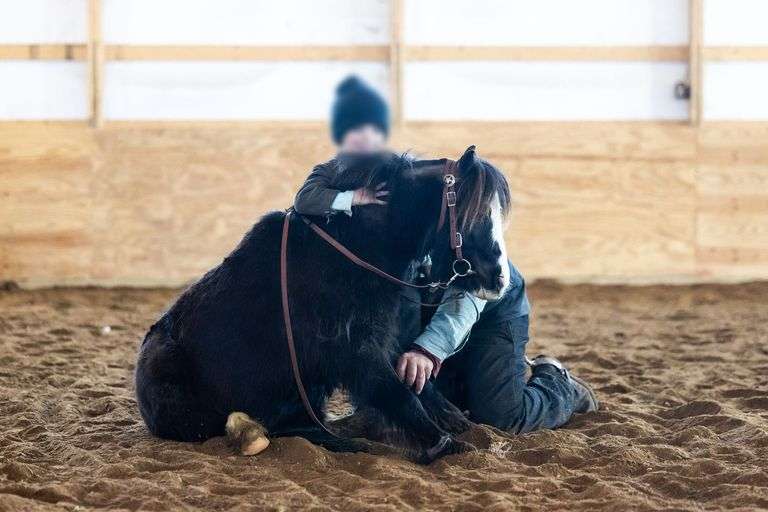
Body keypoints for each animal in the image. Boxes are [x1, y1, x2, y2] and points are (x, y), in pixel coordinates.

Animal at [135, 146, 512, 463]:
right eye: (476, 215)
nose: (499, 280)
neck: (358, 251)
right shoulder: (357, 352)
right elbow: (399, 394)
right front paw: (444, 444)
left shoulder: (388, 339)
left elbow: (417, 385)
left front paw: (463, 426)